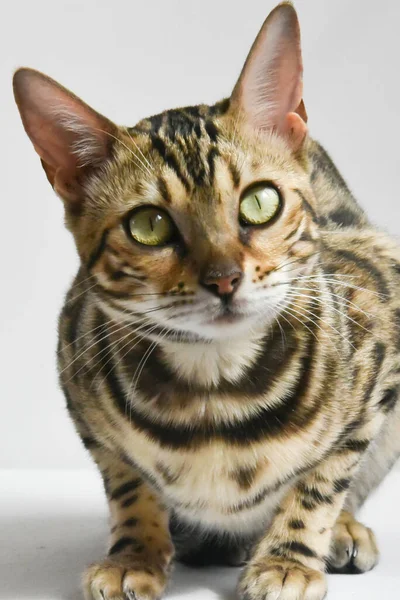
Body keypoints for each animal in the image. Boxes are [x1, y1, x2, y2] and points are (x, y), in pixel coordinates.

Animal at [12, 3, 400, 600]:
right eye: (148, 225)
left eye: (260, 202)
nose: (224, 279)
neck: (215, 391)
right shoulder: (76, 369)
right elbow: (126, 481)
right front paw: (135, 553)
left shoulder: (380, 322)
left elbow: (323, 479)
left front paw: (287, 558)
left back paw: (342, 531)